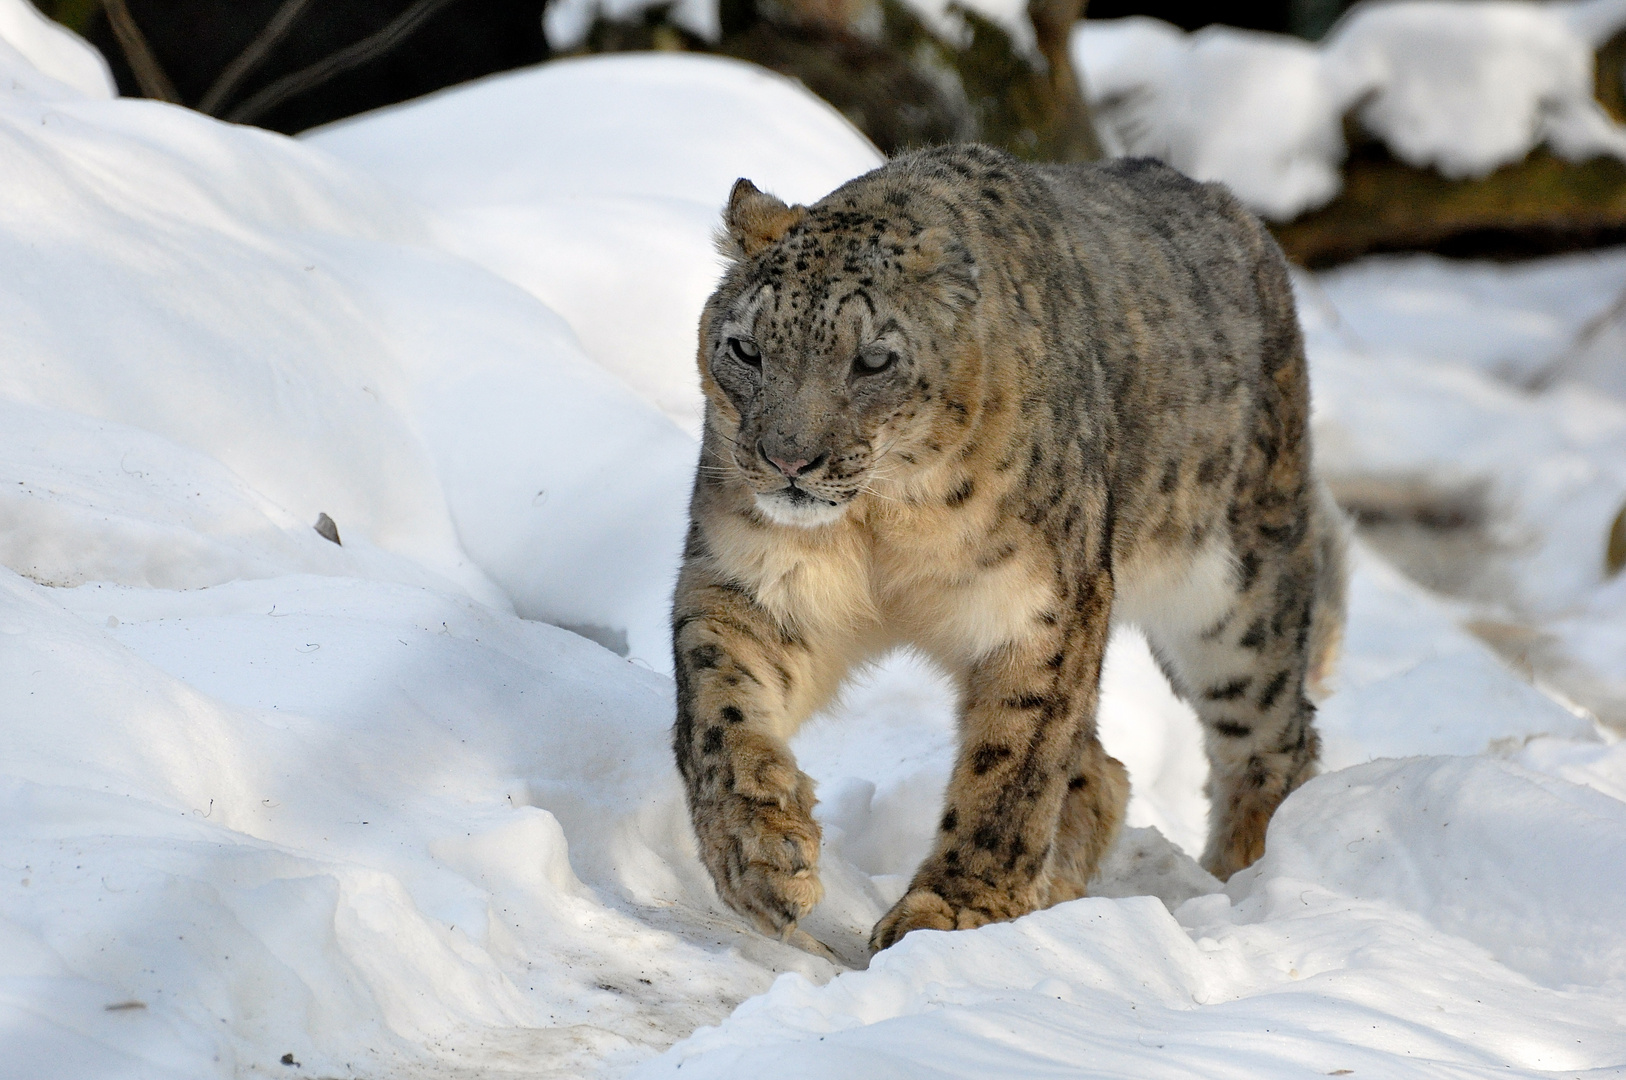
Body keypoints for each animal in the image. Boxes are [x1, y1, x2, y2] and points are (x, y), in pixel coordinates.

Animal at [669, 143, 1346, 956]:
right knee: (1104, 771)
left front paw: (952, 914)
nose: (787, 459)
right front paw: (761, 854)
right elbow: (719, 706)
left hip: (1236, 594)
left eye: (872, 361)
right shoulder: (752, 583)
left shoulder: (1038, 609)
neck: (882, 527)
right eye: (745, 349)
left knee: (1273, 735)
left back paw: (1244, 884)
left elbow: (1012, 765)